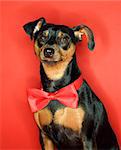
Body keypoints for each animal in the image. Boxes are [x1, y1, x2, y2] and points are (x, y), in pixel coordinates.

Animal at [23, 17, 119, 150]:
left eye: (65, 38)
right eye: (42, 37)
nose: (48, 51)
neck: (56, 91)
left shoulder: (87, 137)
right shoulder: (45, 137)